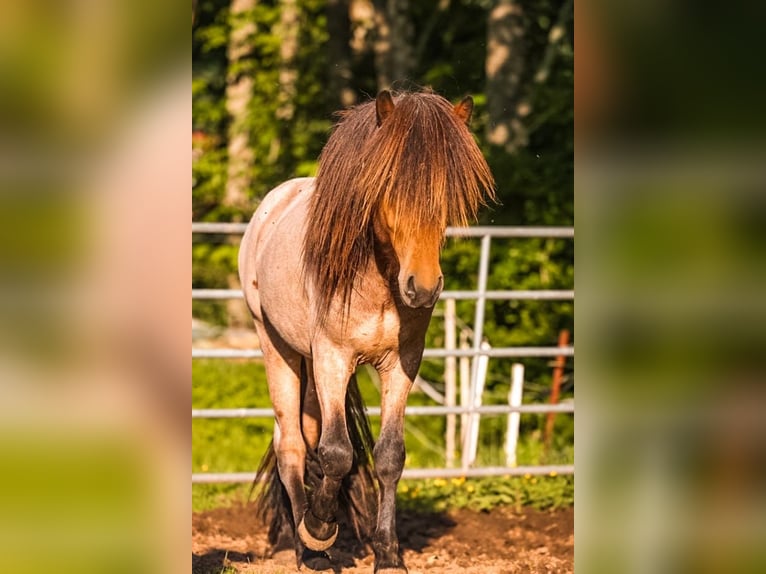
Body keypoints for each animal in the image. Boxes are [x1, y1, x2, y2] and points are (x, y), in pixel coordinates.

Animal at [238, 89, 495, 572]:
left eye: (448, 192)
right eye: (389, 185)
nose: (423, 287)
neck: (376, 279)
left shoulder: (402, 363)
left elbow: (389, 456)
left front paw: (389, 555)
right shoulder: (333, 357)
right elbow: (338, 453)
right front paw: (319, 529)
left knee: (308, 436)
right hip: (278, 348)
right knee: (291, 446)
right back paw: (309, 550)